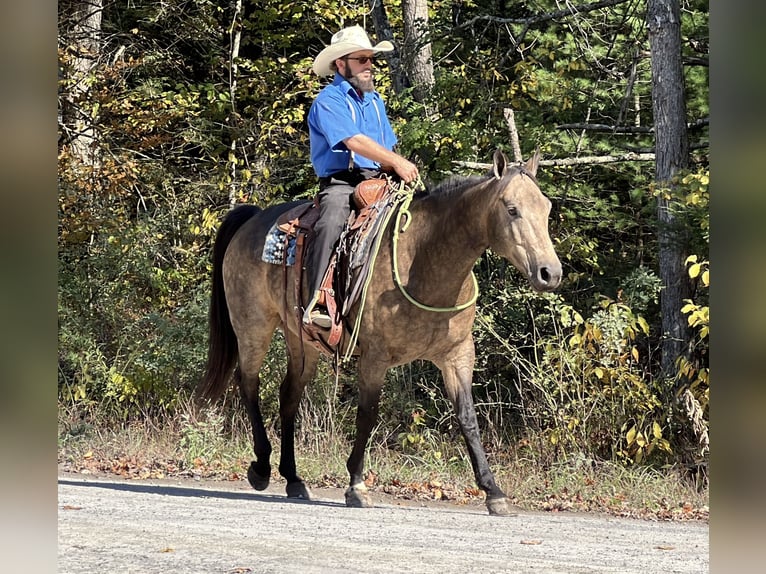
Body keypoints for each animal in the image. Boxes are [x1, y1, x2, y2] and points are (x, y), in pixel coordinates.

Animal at [195, 148, 560, 516]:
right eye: (511, 209)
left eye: (546, 208)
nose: (550, 273)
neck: (424, 259)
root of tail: (254, 217)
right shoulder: (374, 357)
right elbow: (367, 415)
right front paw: (356, 484)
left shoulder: (458, 355)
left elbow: (468, 419)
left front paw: (493, 491)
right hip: (253, 326)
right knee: (249, 384)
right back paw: (261, 467)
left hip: (302, 341)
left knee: (289, 396)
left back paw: (294, 480)